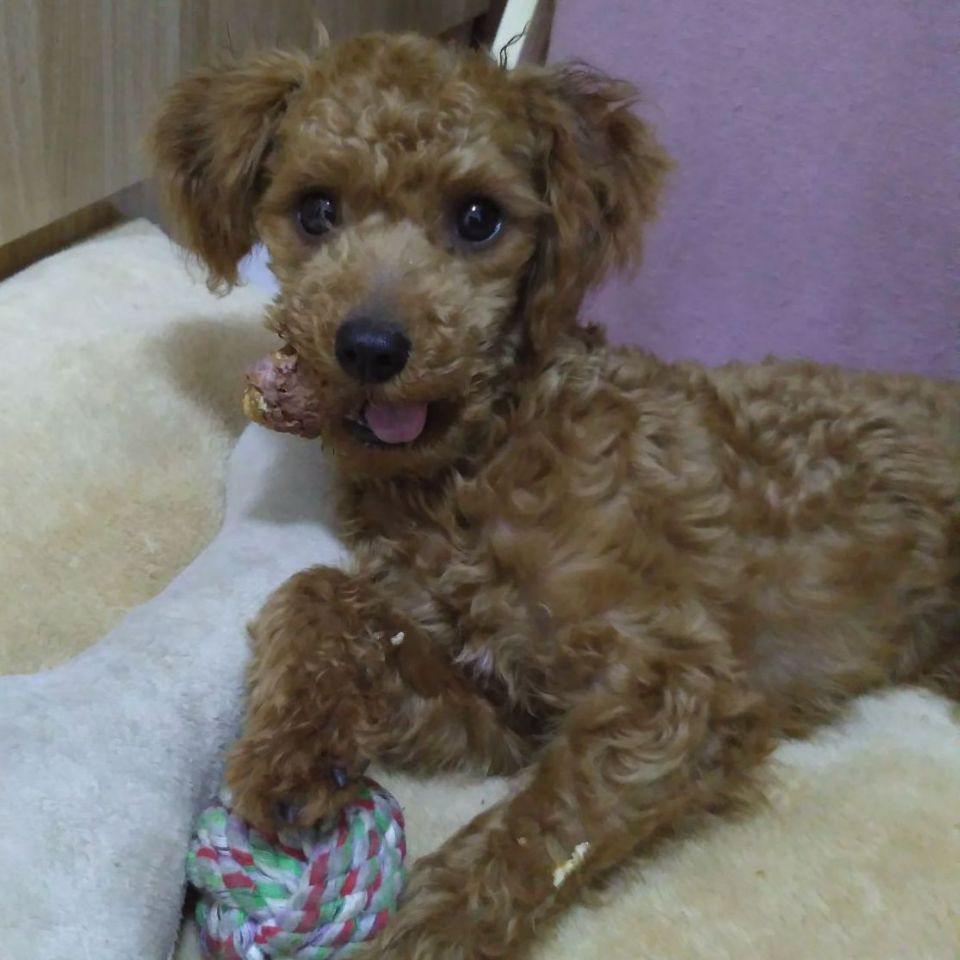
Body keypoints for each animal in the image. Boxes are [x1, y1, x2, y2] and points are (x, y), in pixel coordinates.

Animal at [151, 31, 959, 960]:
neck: (476, 463)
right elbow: (317, 593)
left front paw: (424, 928)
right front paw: (293, 748)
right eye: (316, 211)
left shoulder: (677, 689)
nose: (371, 347)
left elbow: (540, 829)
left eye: (478, 219)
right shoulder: (501, 708)